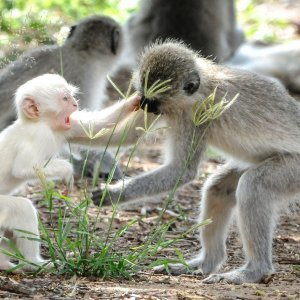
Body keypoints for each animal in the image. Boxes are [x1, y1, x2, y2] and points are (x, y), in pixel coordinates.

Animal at [92, 41, 300, 284]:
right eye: (144, 96)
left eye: (153, 101)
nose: (142, 104)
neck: (203, 88)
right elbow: (120, 134)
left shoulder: (195, 117)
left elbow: (181, 171)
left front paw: (115, 194)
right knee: (218, 188)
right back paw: (206, 263)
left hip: (294, 169)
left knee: (254, 186)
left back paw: (254, 270)